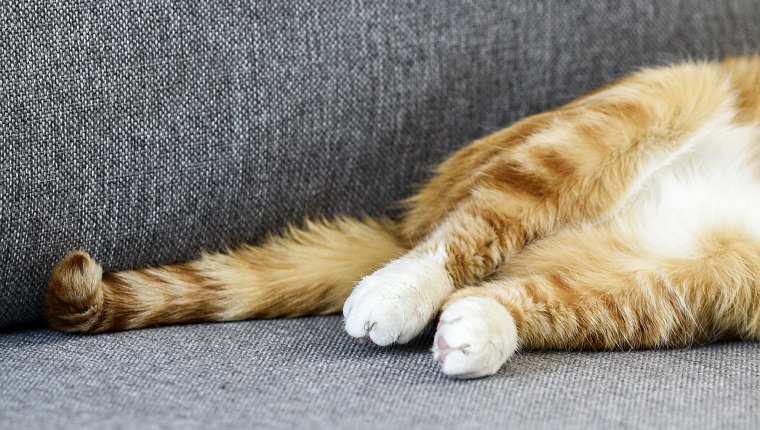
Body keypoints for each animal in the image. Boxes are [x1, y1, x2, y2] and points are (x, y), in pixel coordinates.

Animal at [44, 57, 760, 380]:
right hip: (634, 112)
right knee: (463, 234)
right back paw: (396, 290)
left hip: (705, 271)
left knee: (564, 299)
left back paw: (479, 330)